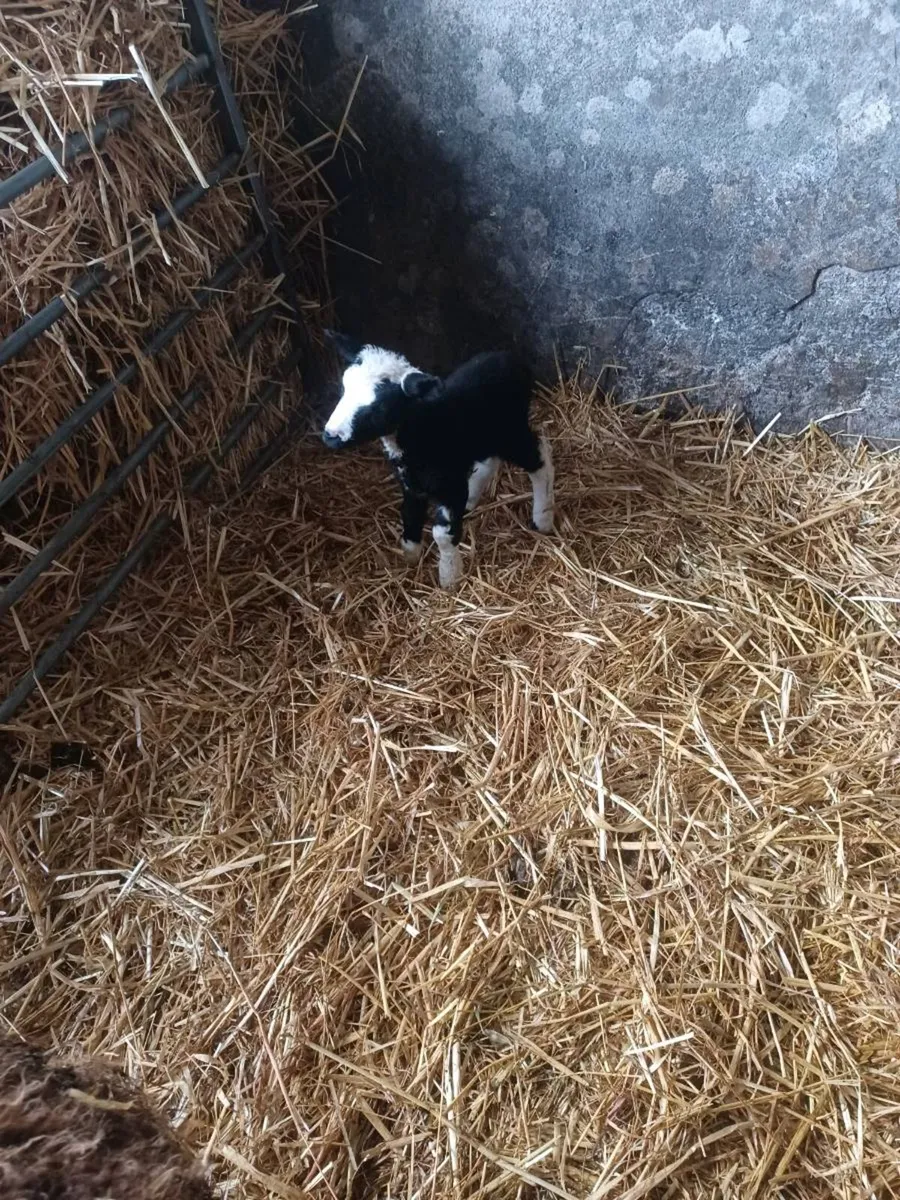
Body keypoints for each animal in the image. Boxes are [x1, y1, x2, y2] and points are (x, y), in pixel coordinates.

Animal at [321, 333, 555, 588]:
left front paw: (449, 577)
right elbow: (409, 517)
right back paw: (472, 499)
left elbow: (442, 534)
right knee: (490, 461)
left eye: (380, 406)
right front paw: (411, 558)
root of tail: (511, 358)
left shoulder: (450, 485)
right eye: (345, 387)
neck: (425, 428)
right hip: (486, 435)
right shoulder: (412, 486)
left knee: (540, 458)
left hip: (511, 431)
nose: (330, 435)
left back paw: (543, 517)